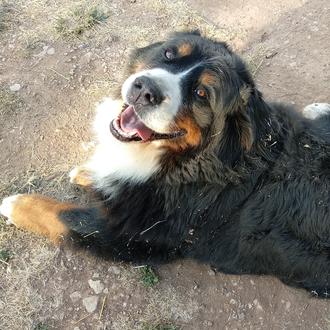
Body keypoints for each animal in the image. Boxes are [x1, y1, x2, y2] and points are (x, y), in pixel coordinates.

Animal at [0, 31, 330, 298]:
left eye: (201, 93)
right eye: (170, 53)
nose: (144, 89)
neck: (187, 162)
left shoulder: (127, 236)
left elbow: (64, 215)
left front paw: (16, 204)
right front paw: (88, 173)